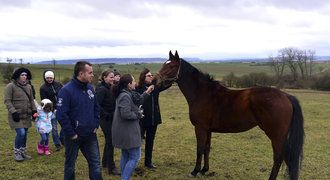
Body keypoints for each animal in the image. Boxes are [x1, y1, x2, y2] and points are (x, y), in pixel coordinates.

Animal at [155, 51, 304, 180]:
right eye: (164, 64)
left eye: (172, 66)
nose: (155, 81)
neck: (202, 93)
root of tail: (286, 96)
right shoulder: (208, 130)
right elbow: (206, 149)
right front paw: (204, 170)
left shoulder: (200, 128)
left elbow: (199, 149)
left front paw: (195, 171)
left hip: (276, 135)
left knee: (279, 157)